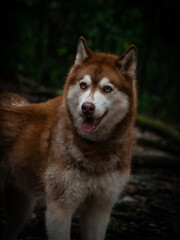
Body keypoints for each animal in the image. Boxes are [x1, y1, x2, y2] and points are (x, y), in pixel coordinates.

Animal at [0, 37, 137, 240]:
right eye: (83, 85)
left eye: (107, 89)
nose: (87, 107)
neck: (95, 150)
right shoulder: (60, 207)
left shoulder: (100, 209)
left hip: (20, 210)